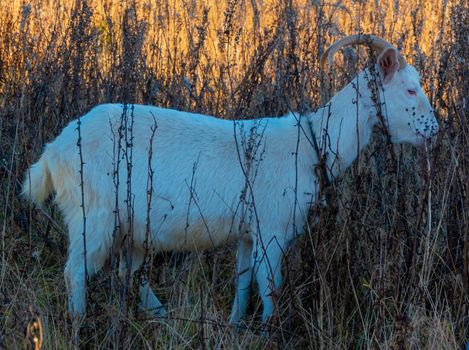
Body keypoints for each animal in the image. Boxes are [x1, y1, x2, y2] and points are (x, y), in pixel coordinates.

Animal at [22, 35, 438, 322]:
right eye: (410, 89)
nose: (434, 129)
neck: (309, 145)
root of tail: (53, 152)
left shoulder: (247, 231)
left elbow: (242, 280)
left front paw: (237, 325)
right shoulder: (272, 227)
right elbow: (269, 286)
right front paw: (270, 330)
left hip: (131, 227)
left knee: (130, 272)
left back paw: (161, 315)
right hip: (93, 215)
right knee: (76, 271)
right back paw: (80, 323)